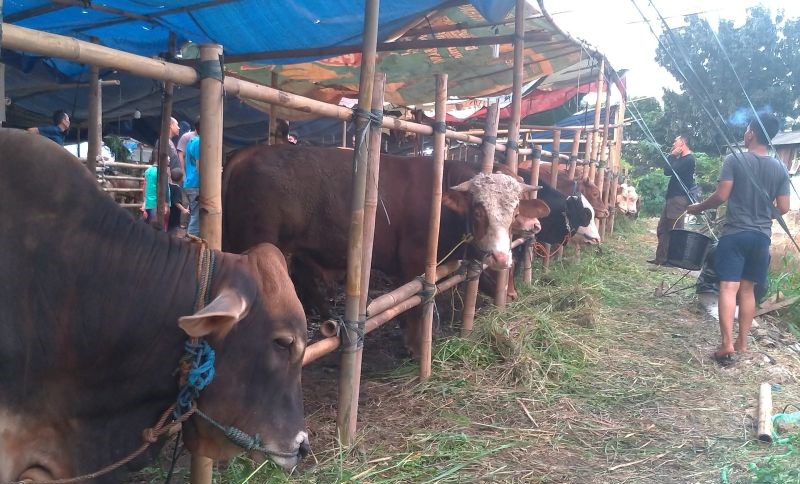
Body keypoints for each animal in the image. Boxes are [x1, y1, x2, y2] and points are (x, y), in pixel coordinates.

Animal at [222, 145, 550, 354]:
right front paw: (417, 347)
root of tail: (248, 153)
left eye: (515, 208)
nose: (500, 257)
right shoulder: (414, 261)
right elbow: (417, 306)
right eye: (479, 209)